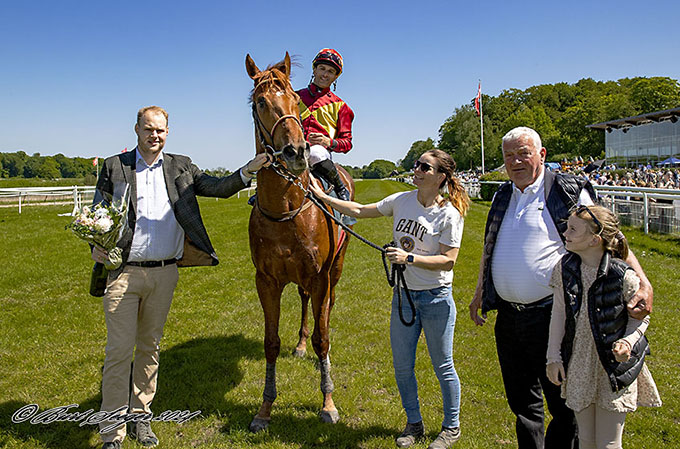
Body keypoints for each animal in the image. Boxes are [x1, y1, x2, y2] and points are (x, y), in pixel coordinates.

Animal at [246, 52, 354, 430]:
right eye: (260, 102)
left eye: (295, 100)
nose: (295, 151)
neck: (286, 209)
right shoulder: (266, 280)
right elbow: (271, 342)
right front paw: (264, 409)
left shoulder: (320, 275)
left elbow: (324, 338)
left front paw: (328, 404)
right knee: (307, 303)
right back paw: (301, 344)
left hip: (335, 269)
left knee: (328, 307)